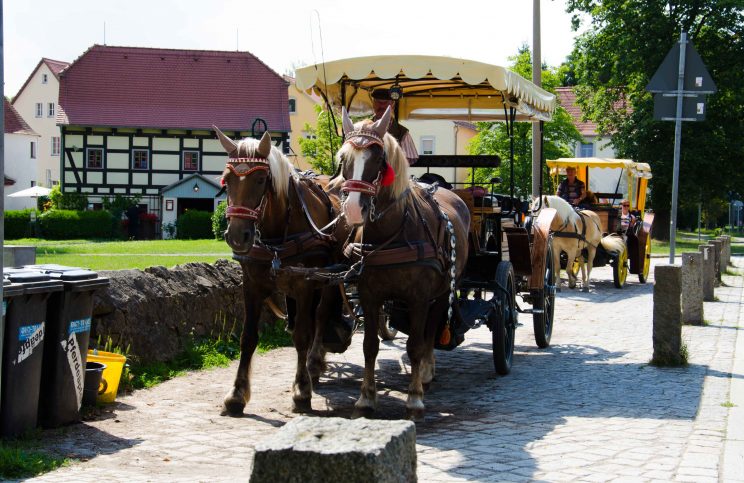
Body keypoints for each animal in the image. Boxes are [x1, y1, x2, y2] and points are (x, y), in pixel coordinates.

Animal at [214, 129, 344, 416]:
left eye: (261, 179)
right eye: (227, 180)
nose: (237, 235)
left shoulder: (305, 284)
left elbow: (302, 335)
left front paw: (301, 391)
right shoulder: (251, 285)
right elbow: (248, 337)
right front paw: (237, 394)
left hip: (330, 280)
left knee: (321, 315)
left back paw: (314, 363)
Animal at [332, 108, 470, 422]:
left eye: (377, 159)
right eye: (343, 159)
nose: (353, 209)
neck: (391, 234)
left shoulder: (419, 297)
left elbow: (416, 345)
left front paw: (414, 399)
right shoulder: (369, 295)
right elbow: (370, 347)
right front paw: (366, 399)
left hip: (442, 291)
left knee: (431, 330)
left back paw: (427, 373)